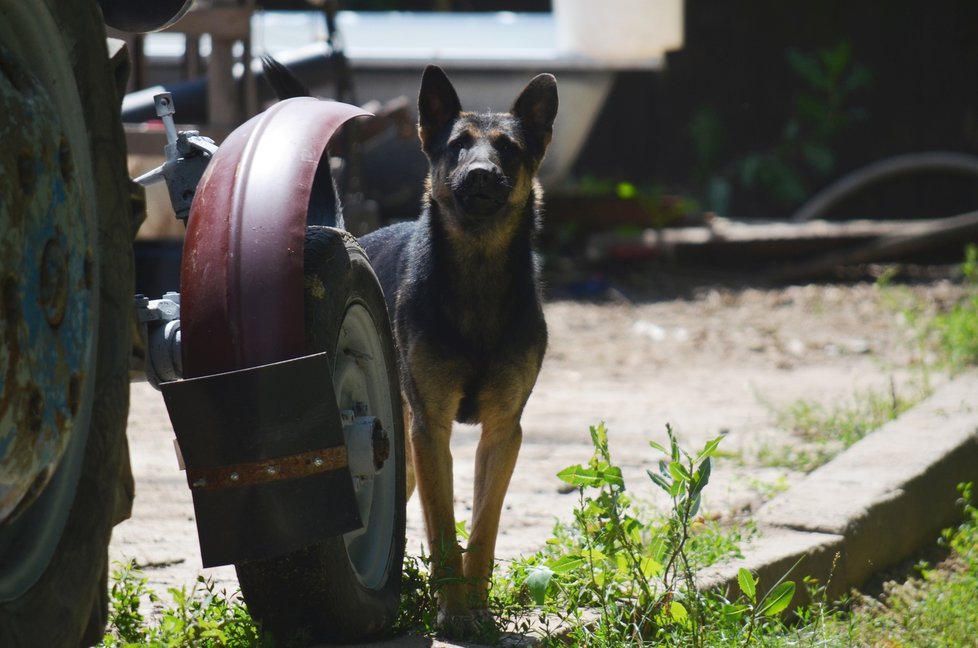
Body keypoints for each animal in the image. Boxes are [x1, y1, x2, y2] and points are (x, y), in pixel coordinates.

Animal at [358, 67, 556, 632]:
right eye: (458, 146)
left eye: (508, 148)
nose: (483, 175)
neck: (479, 272)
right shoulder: (431, 430)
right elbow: (444, 527)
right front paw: (451, 613)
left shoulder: (502, 433)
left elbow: (482, 528)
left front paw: (478, 609)